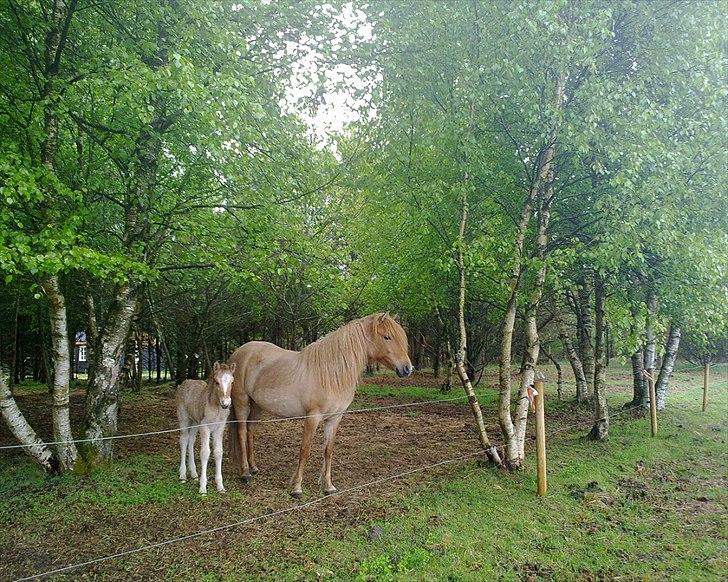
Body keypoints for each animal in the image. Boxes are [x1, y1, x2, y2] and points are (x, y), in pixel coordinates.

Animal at [175, 362, 235, 496]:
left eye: (232, 382)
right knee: (184, 440)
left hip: (194, 422)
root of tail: (184, 383)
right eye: (217, 382)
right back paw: (183, 474)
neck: (216, 406)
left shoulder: (220, 427)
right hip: (184, 419)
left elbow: (218, 452)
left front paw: (220, 486)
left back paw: (194, 473)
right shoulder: (205, 426)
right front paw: (203, 488)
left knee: (191, 441)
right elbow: (205, 452)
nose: (226, 403)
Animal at [229, 312, 410, 500]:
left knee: (250, 430)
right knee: (241, 432)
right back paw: (245, 474)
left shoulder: (335, 418)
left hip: (257, 405)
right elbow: (305, 450)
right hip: (242, 402)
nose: (407, 368)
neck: (331, 373)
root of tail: (239, 352)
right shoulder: (313, 417)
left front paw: (329, 487)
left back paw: (253, 468)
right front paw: (297, 488)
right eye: (387, 337)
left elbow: (328, 451)